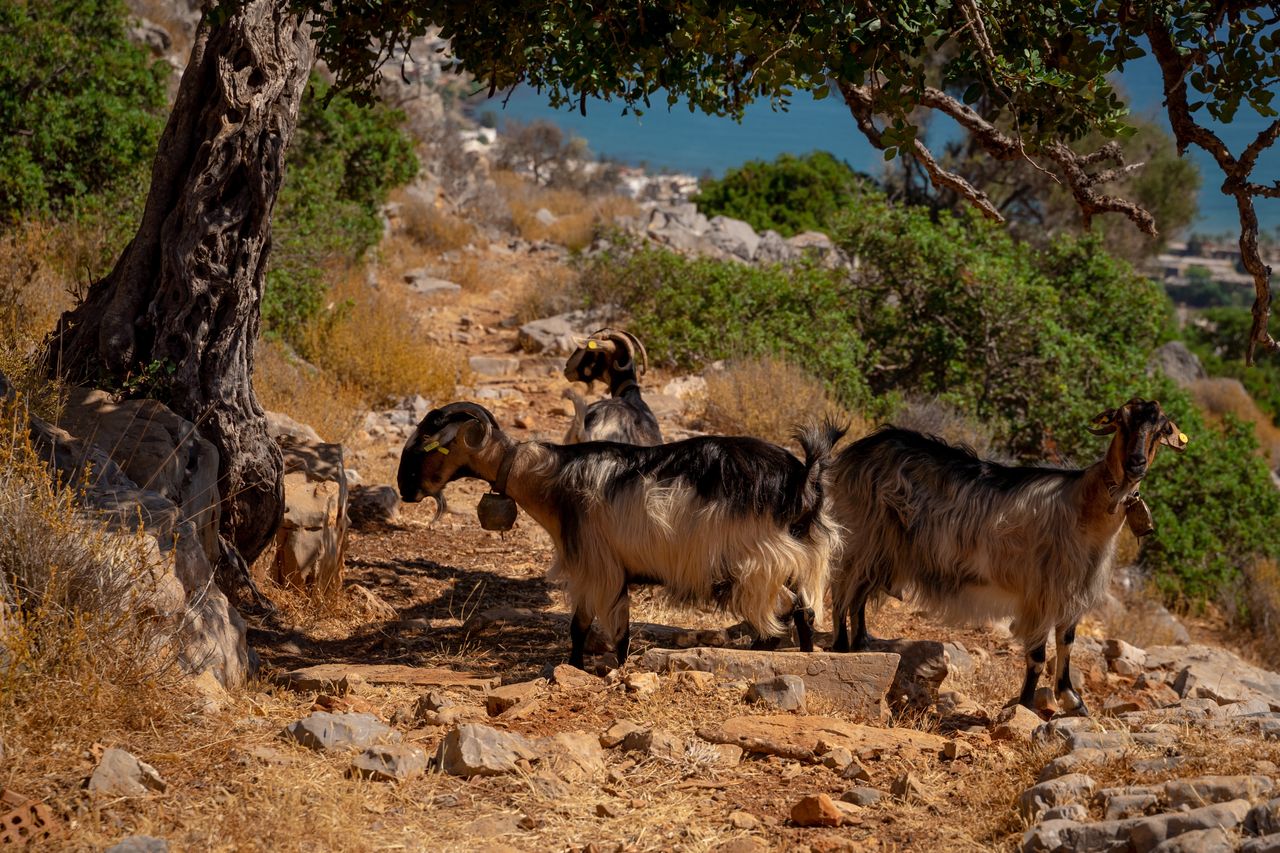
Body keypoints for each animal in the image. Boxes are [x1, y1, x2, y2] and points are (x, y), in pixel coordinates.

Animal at [394, 402, 844, 666]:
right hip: (791, 561)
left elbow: (616, 631)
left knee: (784, 610)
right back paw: (805, 658)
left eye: (426, 445)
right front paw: (576, 666)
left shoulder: (599, 564)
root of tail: (803, 479)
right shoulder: (593, 571)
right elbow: (580, 626)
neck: (550, 476)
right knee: (803, 610)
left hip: (756, 564)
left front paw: (610, 670)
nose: (404, 489)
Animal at [824, 397, 1182, 712]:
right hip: (862, 535)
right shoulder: (1041, 592)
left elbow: (1066, 641)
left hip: (884, 551)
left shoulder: (1072, 592)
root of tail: (854, 452)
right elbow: (1038, 654)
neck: (1084, 504)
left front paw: (1071, 699)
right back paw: (842, 647)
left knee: (857, 595)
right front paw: (1026, 705)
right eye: (1121, 421)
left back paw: (863, 644)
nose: (1136, 463)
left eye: (1161, 428)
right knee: (842, 588)